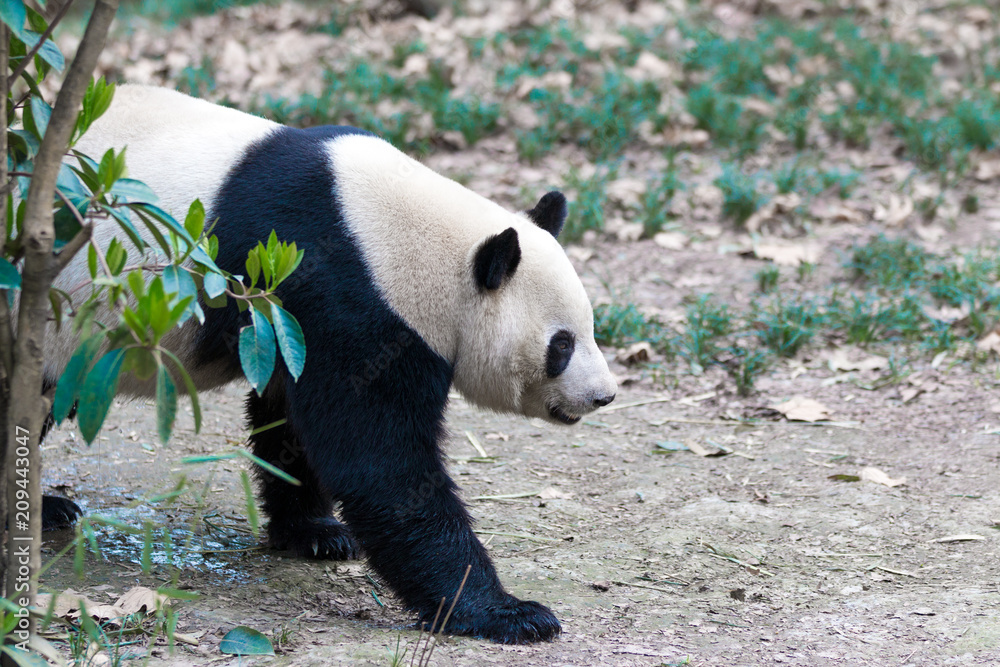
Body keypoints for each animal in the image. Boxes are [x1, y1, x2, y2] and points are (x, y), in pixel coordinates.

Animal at [41, 83, 616, 640]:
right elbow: (379, 461)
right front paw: (507, 613)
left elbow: (291, 420)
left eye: (591, 329)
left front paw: (314, 533)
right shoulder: (346, 290)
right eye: (561, 345)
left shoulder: (288, 317)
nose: (603, 395)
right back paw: (50, 508)